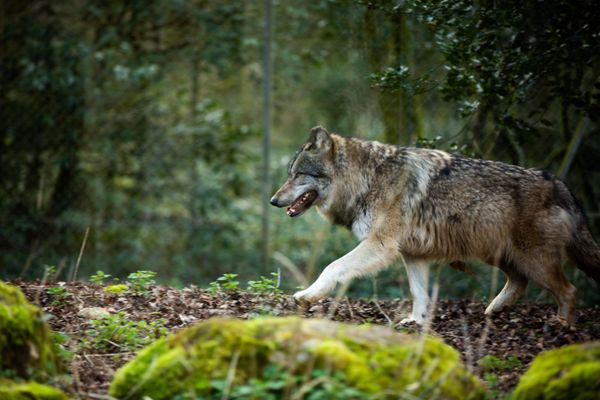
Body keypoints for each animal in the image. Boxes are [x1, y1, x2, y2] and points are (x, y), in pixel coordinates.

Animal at [270, 126, 600, 324]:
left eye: (298, 175)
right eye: (289, 174)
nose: (273, 200)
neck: (367, 179)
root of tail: (560, 184)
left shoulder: (379, 245)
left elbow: (333, 267)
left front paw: (307, 295)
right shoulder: (413, 255)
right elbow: (420, 293)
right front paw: (416, 322)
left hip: (532, 260)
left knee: (568, 290)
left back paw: (562, 326)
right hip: (503, 255)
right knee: (519, 284)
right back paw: (493, 310)